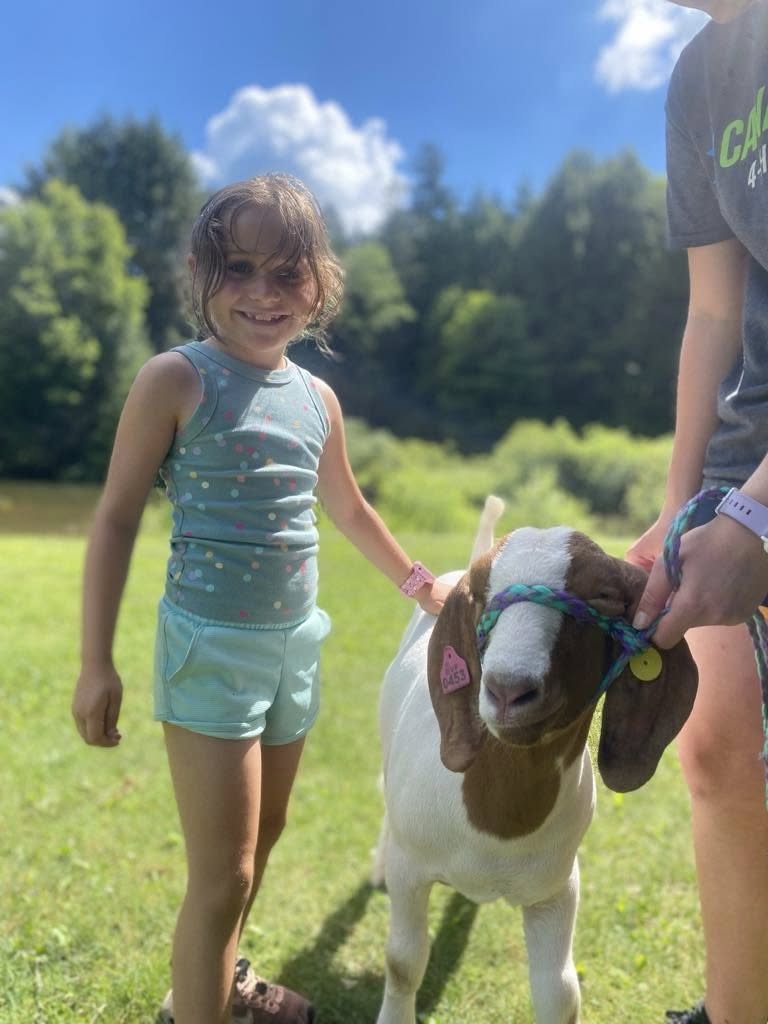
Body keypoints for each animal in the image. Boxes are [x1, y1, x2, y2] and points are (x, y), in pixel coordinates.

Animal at [372, 497, 697, 1024]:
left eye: (604, 595)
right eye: (480, 596)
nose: (509, 690)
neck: (495, 824)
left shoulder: (556, 890)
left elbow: (558, 991)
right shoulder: (411, 872)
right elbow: (403, 962)